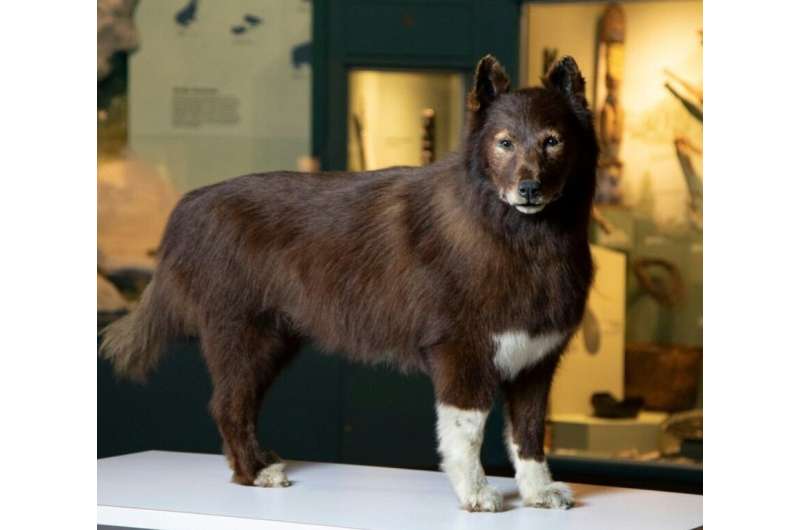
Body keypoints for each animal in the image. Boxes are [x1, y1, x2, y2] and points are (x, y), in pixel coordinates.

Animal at [100, 54, 596, 512]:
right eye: (504, 142)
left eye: (552, 141)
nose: (529, 189)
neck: (520, 238)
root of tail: (189, 206)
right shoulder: (462, 354)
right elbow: (466, 433)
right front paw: (475, 494)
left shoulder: (536, 362)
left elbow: (528, 434)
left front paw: (538, 492)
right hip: (241, 338)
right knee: (228, 406)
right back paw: (256, 473)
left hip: (272, 343)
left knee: (240, 406)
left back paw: (259, 463)